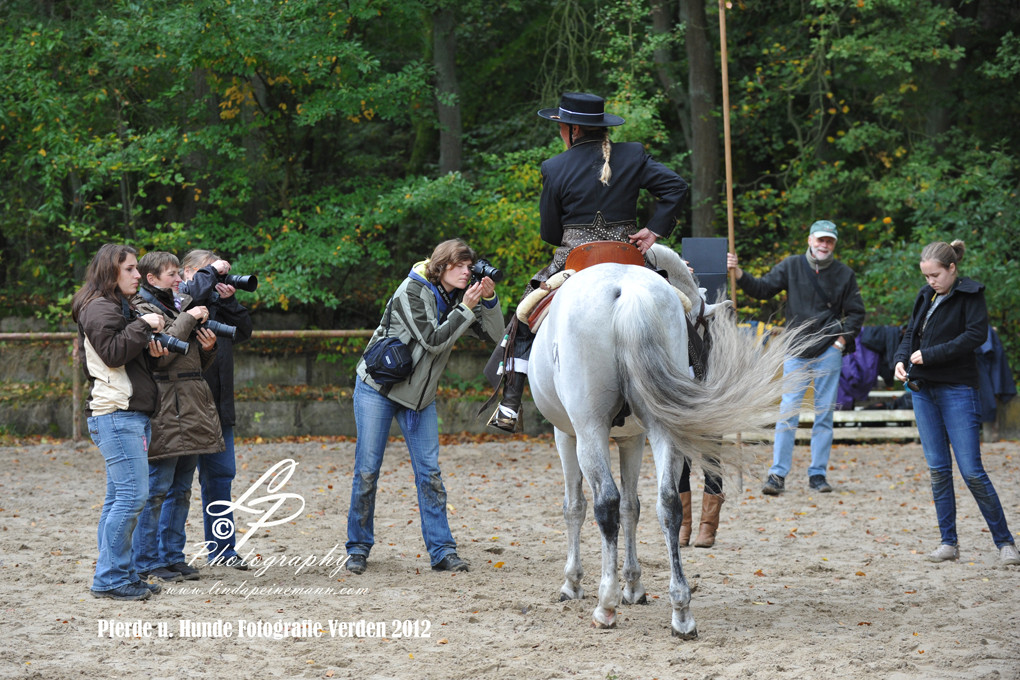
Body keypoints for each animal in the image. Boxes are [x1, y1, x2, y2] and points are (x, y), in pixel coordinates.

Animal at [526, 249, 803, 640]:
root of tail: (627, 291)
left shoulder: (566, 434)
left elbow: (575, 507)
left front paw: (574, 583)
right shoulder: (634, 437)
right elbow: (633, 507)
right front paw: (634, 586)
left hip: (590, 430)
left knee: (605, 503)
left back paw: (606, 605)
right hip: (661, 430)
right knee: (668, 504)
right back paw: (681, 612)